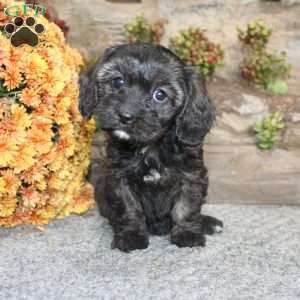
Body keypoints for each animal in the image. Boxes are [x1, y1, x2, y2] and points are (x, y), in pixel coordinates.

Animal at [79, 43, 223, 252]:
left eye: (160, 95)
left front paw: (187, 234)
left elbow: (186, 208)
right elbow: (129, 208)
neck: (151, 147)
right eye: (118, 82)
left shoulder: (192, 177)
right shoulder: (119, 179)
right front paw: (131, 235)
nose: (125, 116)